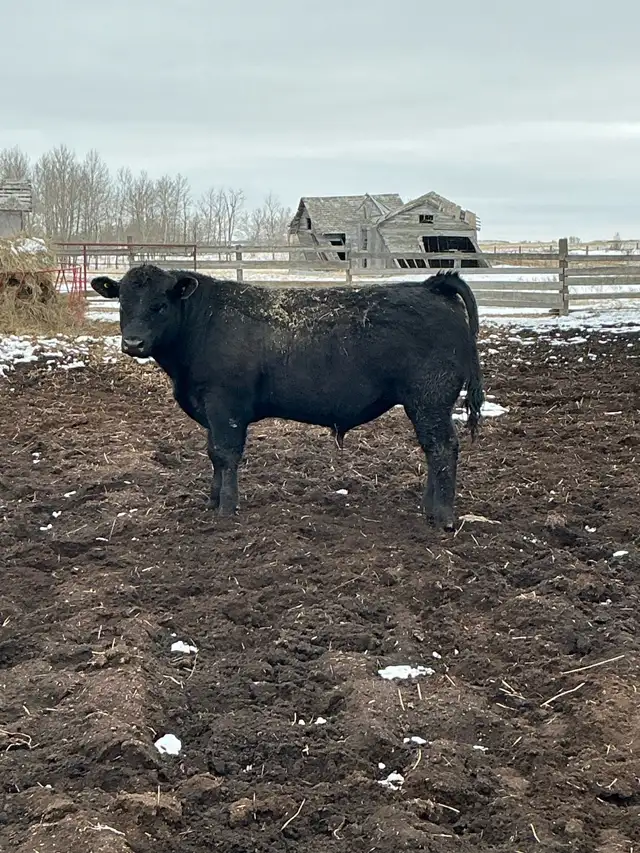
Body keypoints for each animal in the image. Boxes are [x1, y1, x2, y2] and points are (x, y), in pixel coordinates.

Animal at [91, 264, 484, 530]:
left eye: (160, 304)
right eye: (122, 302)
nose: (133, 343)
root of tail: (430, 286)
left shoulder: (225, 405)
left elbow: (226, 455)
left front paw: (226, 509)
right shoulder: (210, 411)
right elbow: (213, 454)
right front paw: (212, 501)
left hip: (430, 399)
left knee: (442, 448)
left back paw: (442, 516)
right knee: (434, 450)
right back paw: (428, 509)